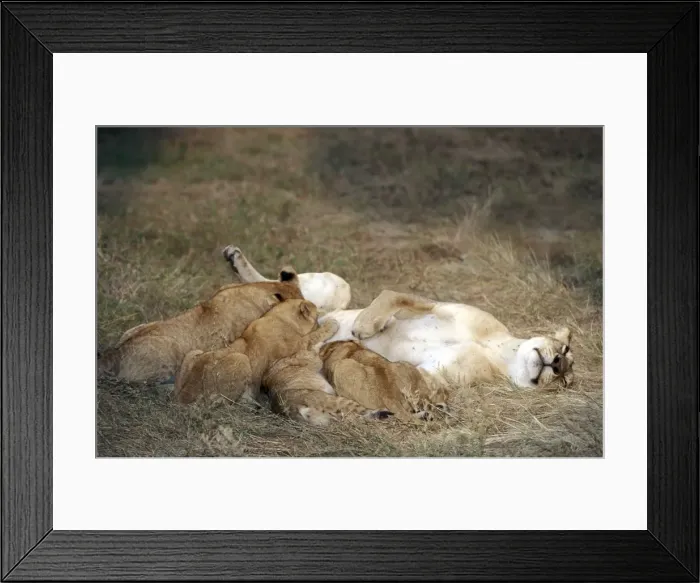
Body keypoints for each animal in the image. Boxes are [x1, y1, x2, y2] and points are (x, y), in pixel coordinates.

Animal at [173, 299, 339, 405]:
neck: (279, 317)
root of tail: (183, 397)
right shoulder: (299, 344)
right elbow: (314, 336)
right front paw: (332, 324)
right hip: (241, 359)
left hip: (193, 353)